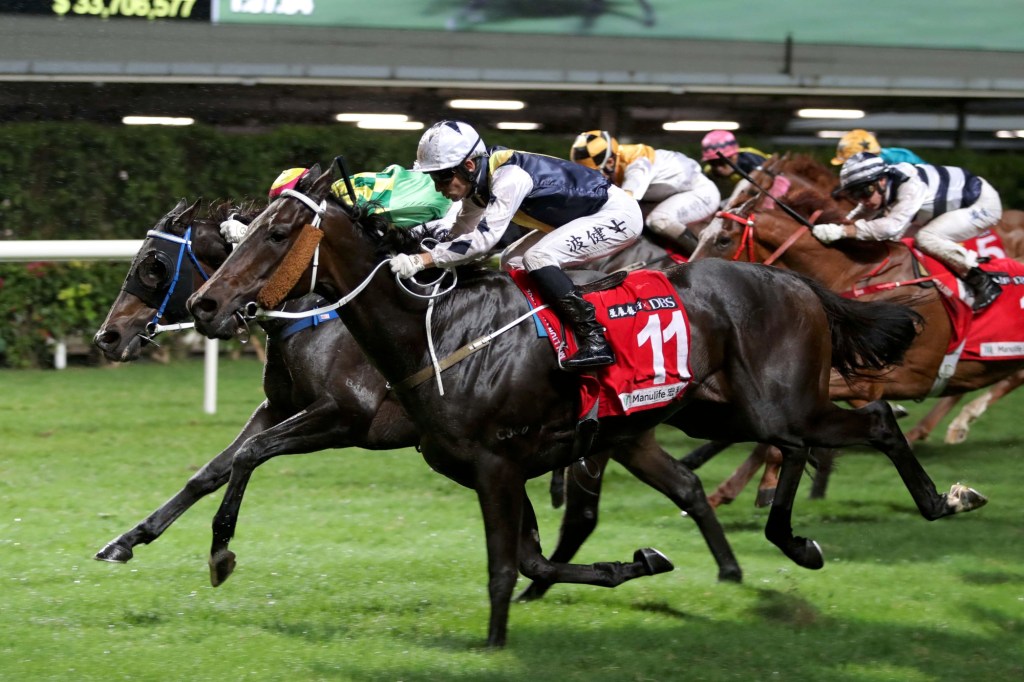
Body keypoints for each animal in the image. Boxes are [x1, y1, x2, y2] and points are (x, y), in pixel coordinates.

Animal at [91, 197, 743, 594]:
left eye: (152, 265)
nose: (108, 336)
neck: (319, 310)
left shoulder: (342, 418)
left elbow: (249, 457)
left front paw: (221, 555)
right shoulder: (279, 407)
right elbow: (210, 472)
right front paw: (126, 541)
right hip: (626, 433)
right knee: (682, 485)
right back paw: (712, 566)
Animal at [186, 162, 984, 647]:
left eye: (279, 232)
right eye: (242, 231)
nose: (206, 306)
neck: (438, 332)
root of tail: (794, 281)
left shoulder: (494, 463)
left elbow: (506, 565)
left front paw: (496, 644)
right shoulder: (492, 466)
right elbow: (534, 560)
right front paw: (640, 561)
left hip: (776, 401)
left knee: (865, 423)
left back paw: (943, 500)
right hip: (712, 409)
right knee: (775, 451)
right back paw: (790, 541)